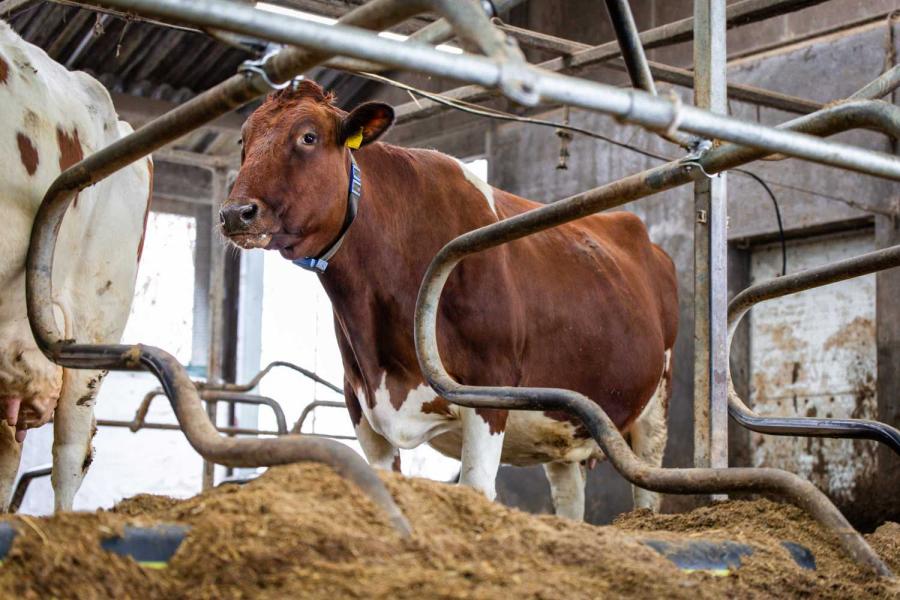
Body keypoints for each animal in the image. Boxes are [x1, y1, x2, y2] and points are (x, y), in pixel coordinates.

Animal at [221, 81, 677, 520]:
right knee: (568, 495)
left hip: (656, 403)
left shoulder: (487, 388)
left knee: (648, 485)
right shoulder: (360, 401)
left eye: (308, 137)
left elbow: (475, 488)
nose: (235, 213)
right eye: (243, 140)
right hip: (564, 420)